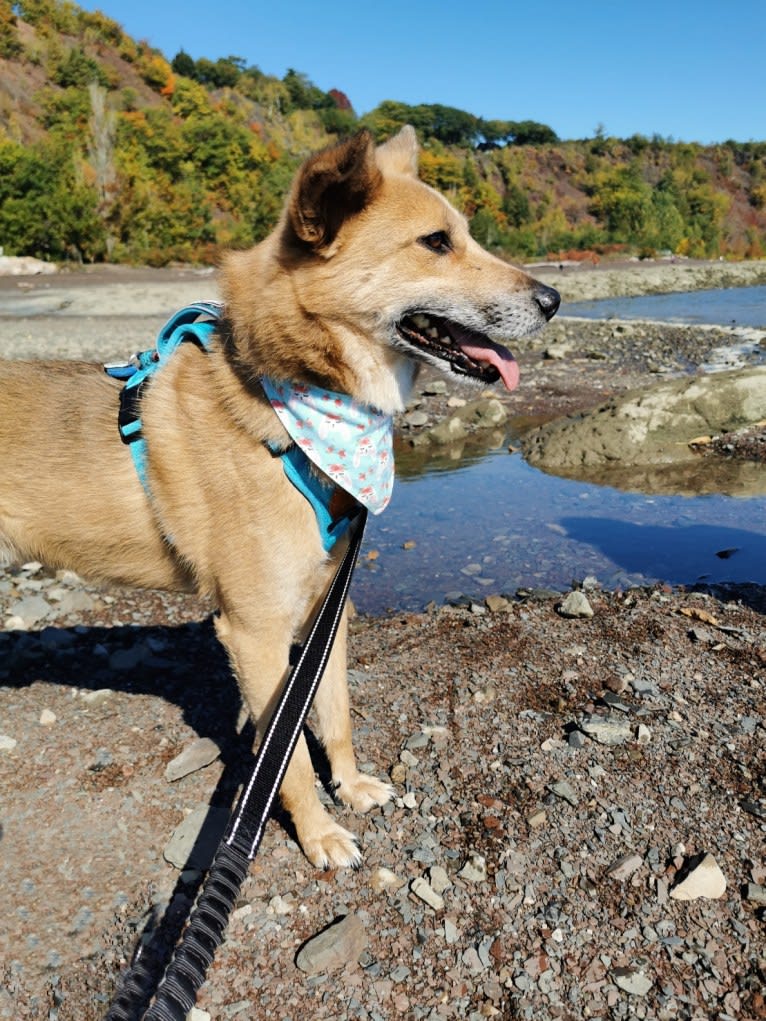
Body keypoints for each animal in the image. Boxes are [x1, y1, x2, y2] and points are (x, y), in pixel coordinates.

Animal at [0, 123, 559, 865]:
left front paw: (351, 787)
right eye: (436, 242)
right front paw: (317, 833)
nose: (554, 300)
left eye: (465, 234)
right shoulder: (255, 632)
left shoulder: (328, 611)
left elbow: (335, 713)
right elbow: (284, 759)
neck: (297, 407)